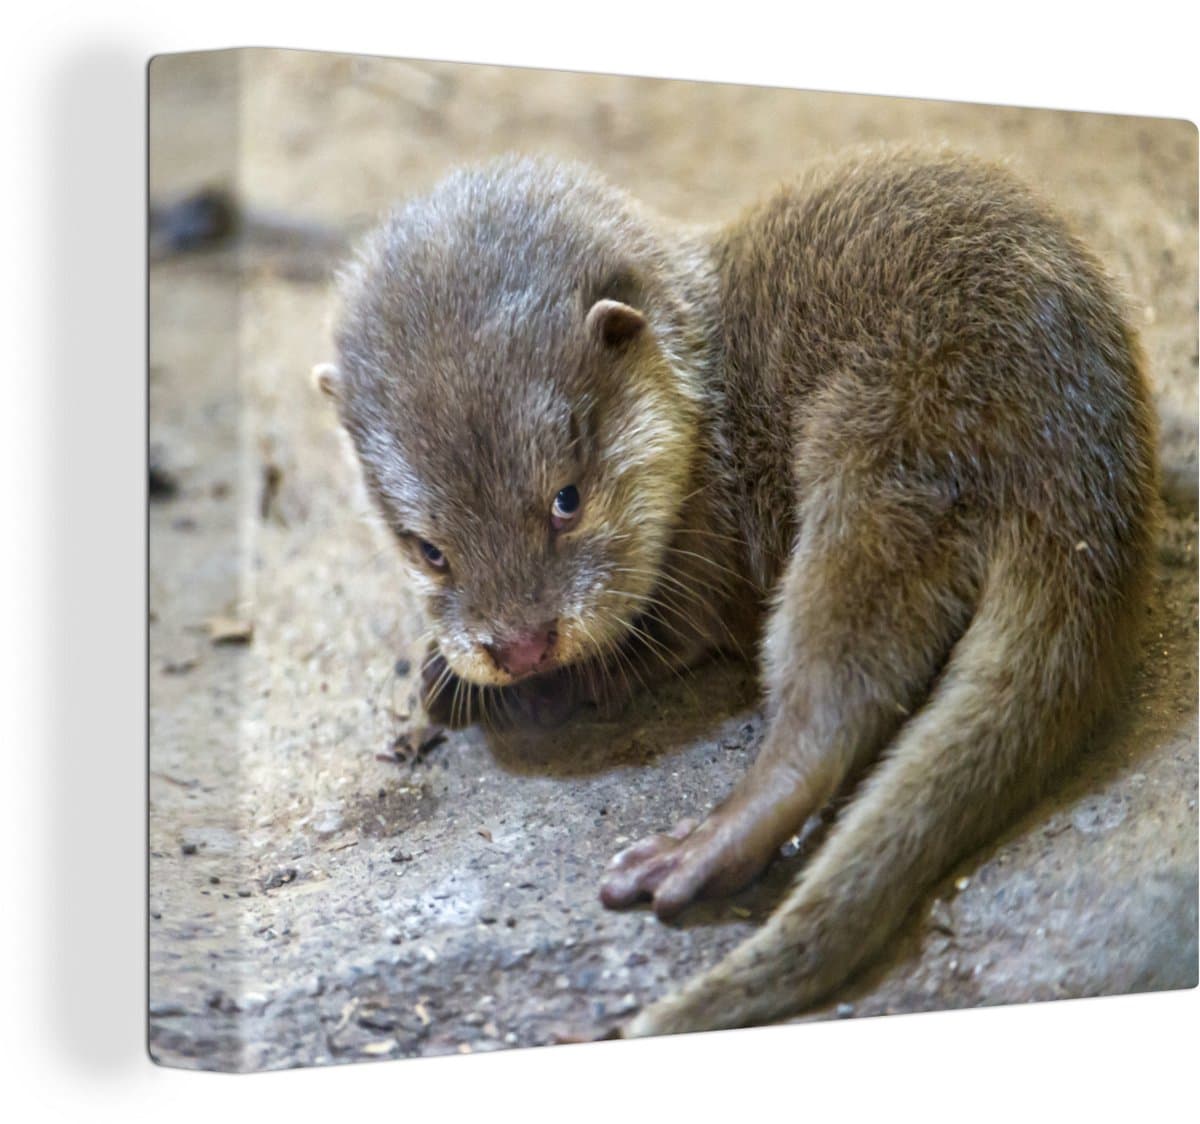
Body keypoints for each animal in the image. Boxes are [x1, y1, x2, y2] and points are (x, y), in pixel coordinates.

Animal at [316, 147, 1159, 1037]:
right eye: (428, 549)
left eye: (566, 498)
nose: (520, 643)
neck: (705, 399)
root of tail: (1083, 463)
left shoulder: (701, 552)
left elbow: (634, 653)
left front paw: (464, 691)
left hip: (888, 445)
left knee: (837, 694)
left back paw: (704, 848)